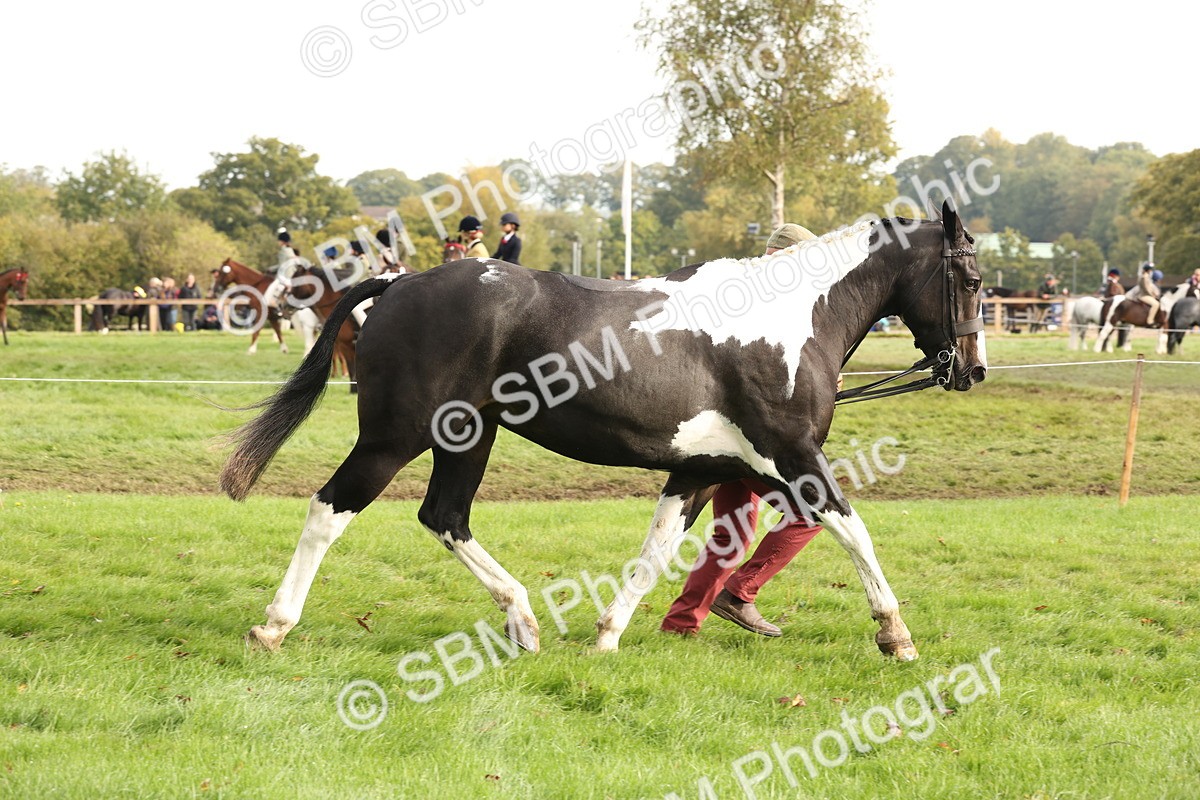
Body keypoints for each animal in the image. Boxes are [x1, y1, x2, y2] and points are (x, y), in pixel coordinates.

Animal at [221, 202, 986, 663]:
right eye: (973, 279)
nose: (972, 368)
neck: (789, 319)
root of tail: (399, 283)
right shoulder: (794, 457)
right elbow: (855, 531)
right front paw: (895, 634)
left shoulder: (699, 470)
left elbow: (654, 555)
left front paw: (607, 636)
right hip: (393, 438)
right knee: (329, 510)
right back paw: (274, 624)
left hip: (468, 437)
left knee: (445, 517)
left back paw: (523, 621)